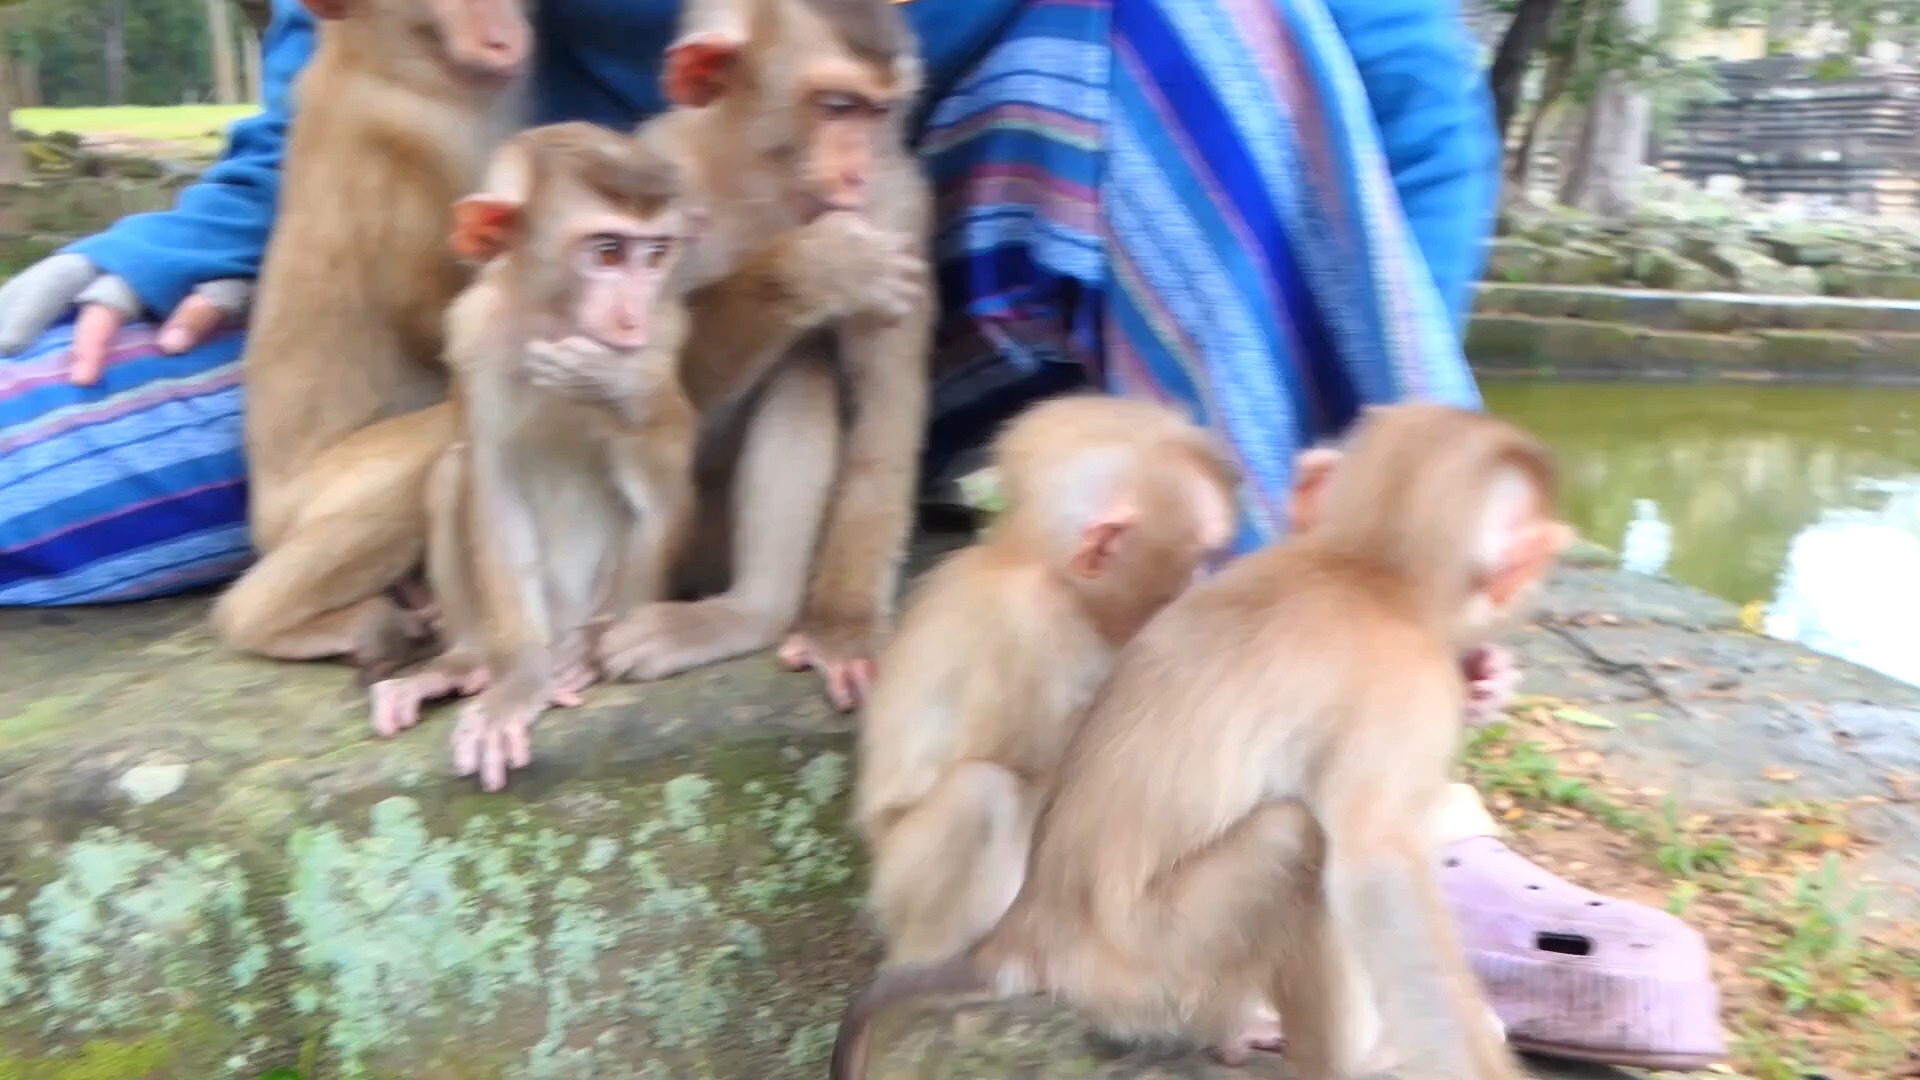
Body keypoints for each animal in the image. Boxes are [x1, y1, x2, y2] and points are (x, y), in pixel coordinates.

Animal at [208, 0, 533, 672]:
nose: (499, 37)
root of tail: (262, 516)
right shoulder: (408, 164)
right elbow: (440, 320)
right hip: (312, 499)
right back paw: (299, 623)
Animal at [366, 123, 706, 791]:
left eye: (655, 253)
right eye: (608, 252)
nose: (632, 317)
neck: (550, 322)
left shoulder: (664, 336)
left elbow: (664, 486)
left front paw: (615, 387)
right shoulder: (472, 334)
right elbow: (492, 484)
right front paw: (518, 682)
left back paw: (578, 653)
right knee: (451, 472)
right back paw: (466, 663)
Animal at [591, 0, 936, 711]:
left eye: (880, 111)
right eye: (838, 106)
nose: (858, 171)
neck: (764, 185)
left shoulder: (896, 210)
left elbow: (883, 421)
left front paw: (843, 628)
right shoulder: (653, 178)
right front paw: (817, 265)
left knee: (802, 367)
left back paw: (750, 614)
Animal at [856, 395, 1244, 968]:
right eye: (1200, 557)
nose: (1208, 581)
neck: (1051, 578)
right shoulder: (1032, 621)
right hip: (899, 885)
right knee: (982, 794)